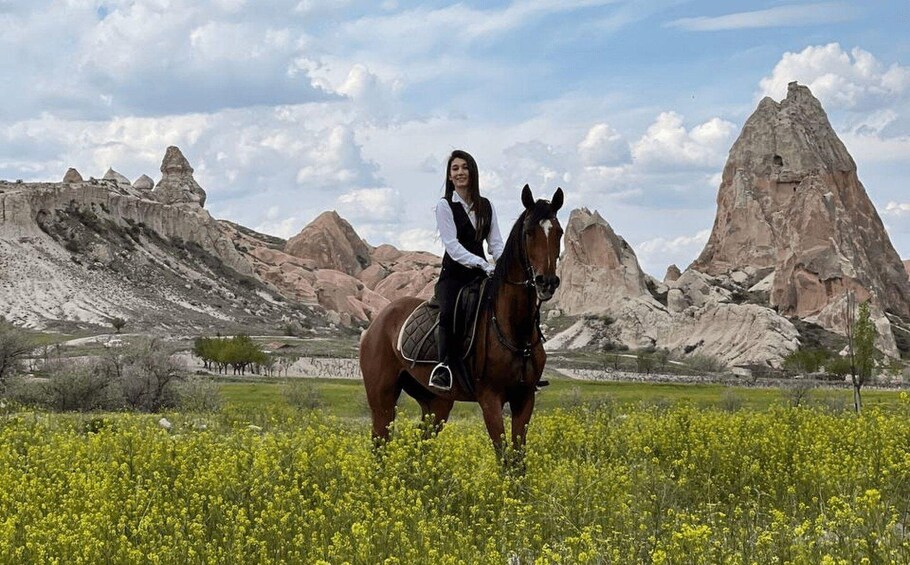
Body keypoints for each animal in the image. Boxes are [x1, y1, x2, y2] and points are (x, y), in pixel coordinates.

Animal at [362, 185, 564, 454]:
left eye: (559, 232)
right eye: (529, 232)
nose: (547, 282)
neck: (513, 328)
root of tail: (377, 321)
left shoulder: (525, 398)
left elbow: (517, 458)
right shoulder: (490, 399)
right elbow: (503, 456)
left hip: (436, 402)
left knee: (420, 443)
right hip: (382, 399)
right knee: (379, 444)